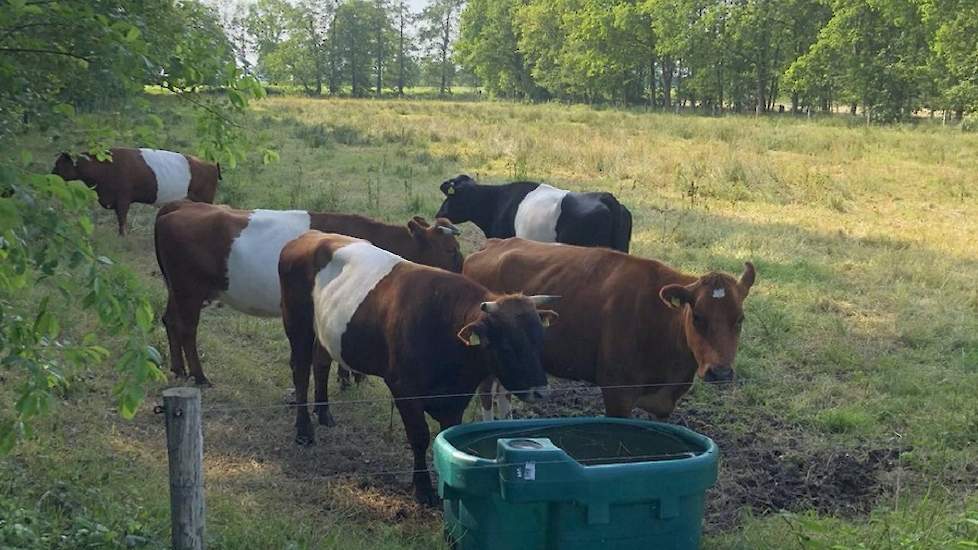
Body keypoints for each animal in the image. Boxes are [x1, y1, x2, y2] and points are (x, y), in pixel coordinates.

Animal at [51, 149, 219, 235]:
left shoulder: (123, 198)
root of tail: (211, 164)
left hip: (205, 199)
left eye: (59, 164)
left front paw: (123, 236)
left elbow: (122, 217)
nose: (51, 175)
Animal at [153, 202, 466, 388]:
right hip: (189, 290)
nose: (463, 274)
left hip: (176, 289)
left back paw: (178, 369)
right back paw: (199, 376)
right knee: (187, 329)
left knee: (170, 320)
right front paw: (348, 378)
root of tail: (180, 207)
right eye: (450, 250)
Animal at [280, 231, 556, 506]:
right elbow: (419, 436)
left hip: (325, 331)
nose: (540, 391)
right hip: (297, 322)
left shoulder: (456, 397)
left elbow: (447, 435)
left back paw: (324, 414)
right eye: (507, 346)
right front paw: (423, 488)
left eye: (539, 341)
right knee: (301, 371)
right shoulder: (403, 388)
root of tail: (309, 236)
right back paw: (304, 431)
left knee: (321, 362)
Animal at [464, 238, 756, 422]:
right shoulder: (617, 394)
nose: (720, 372)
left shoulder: (664, 405)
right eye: (697, 316)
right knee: (487, 393)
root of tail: (492, 244)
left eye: (740, 319)